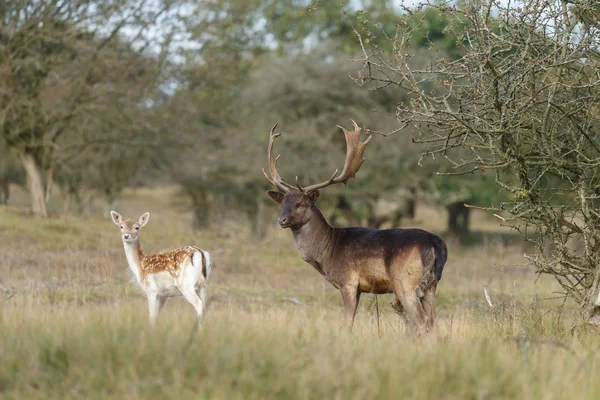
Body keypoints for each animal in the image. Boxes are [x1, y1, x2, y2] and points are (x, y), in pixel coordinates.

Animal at [262, 122, 446, 334]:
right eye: (282, 203)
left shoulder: (348, 282)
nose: (281, 219)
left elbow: (348, 321)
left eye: (301, 204)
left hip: (405, 282)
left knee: (422, 321)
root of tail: (436, 244)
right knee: (433, 320)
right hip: (431, 285)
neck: (327, 252)